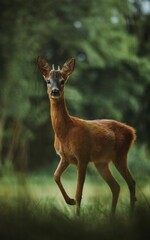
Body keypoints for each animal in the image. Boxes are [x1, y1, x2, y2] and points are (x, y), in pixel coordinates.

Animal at [37, 56, 137, 216]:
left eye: (62, 81)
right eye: (48, 81)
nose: (55, 91)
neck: (65, 132)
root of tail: (132, 131)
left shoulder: (82, 156)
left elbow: (79, 193)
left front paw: (77, 215)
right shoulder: (65, 157)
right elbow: (55, 176)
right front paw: (69, 201)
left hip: (120, 155)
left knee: (131, 182)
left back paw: (131, 214)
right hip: (101, 162)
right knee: (116, 186)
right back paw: (112, 216)